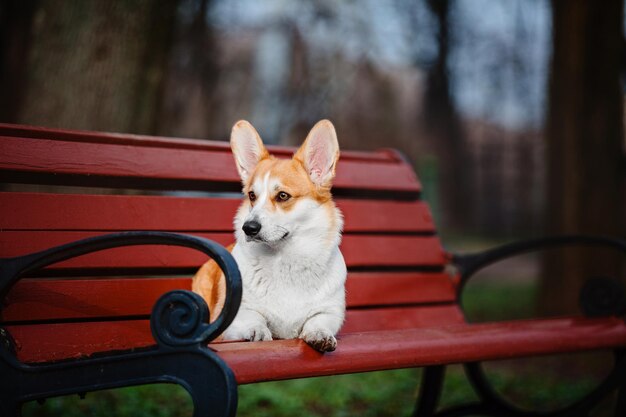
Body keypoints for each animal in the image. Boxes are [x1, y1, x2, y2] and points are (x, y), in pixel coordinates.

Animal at [191, 118, 346, 350]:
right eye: (252, 195)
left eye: (282, 196)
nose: (249, 228)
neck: (284, 258)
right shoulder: (235, 317)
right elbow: (254, 318)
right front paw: (257, 332)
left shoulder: (330, 312)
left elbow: (318, 321)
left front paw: (320, 334)